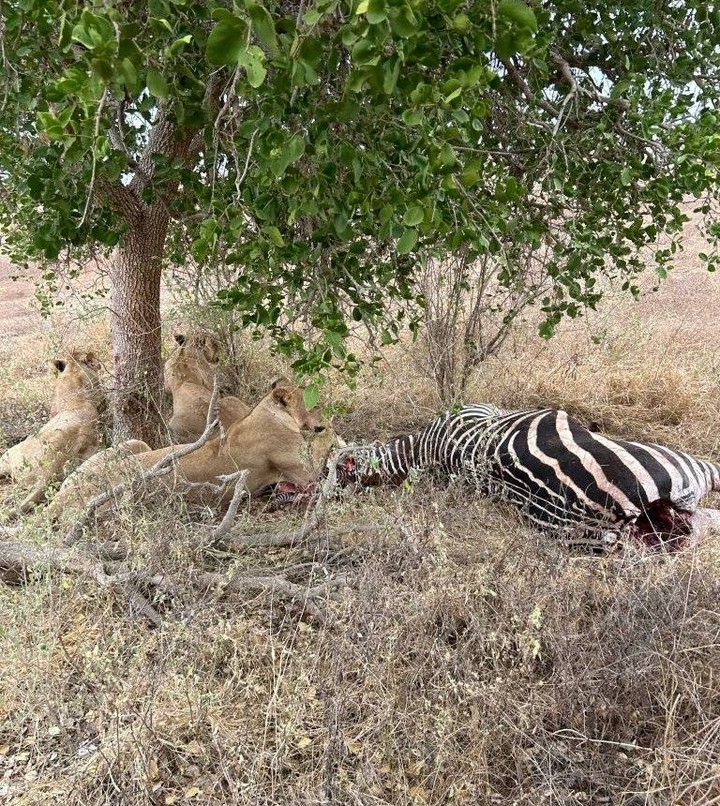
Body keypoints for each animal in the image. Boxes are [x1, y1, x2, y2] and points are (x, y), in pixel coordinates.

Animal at [44, 380, 337, 522]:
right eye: (314, 402)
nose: (326, 410)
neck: (269, 413)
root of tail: (62, 498)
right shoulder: (302, 471)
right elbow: (325, 444)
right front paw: (331, 430)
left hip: (132, 446)